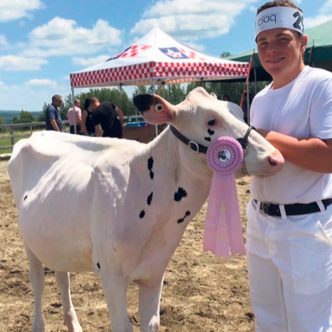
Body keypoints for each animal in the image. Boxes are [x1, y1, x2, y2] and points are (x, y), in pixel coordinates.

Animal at [7, 87, 282, 332]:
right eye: (211, 120)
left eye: (240, 113)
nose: (275, 157)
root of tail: (36, 135)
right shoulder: (110, 275)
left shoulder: (155, 272)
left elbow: (151, 323)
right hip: (29, 243)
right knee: (38, 284)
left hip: (54, 239)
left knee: (62, 277)